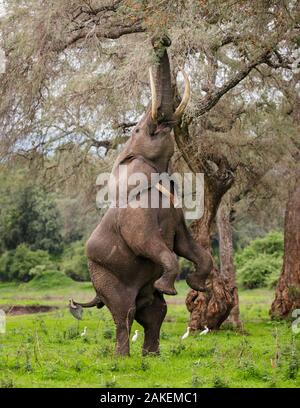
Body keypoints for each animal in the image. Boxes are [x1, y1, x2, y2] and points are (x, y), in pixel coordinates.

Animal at [69, 36, 212, 356]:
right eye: (136, 129)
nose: (162, 39)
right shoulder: (135, 215)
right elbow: (152, 245)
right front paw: (169, 287)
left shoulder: (177, 215)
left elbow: (187, 246)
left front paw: (199, 285)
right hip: (104, 274)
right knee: (125, 313)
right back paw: (122, 359)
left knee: (154, 312)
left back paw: (152, 356)